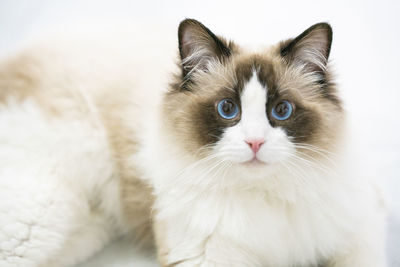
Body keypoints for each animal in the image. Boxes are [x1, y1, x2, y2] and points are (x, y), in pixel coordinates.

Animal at [0, 18, 388, 267]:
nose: (255, 143)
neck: (265, 195)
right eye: (227, 109)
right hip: (40, 218)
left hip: (83, 229)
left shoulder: (358, 233)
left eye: (282, 110)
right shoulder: (204, 256)